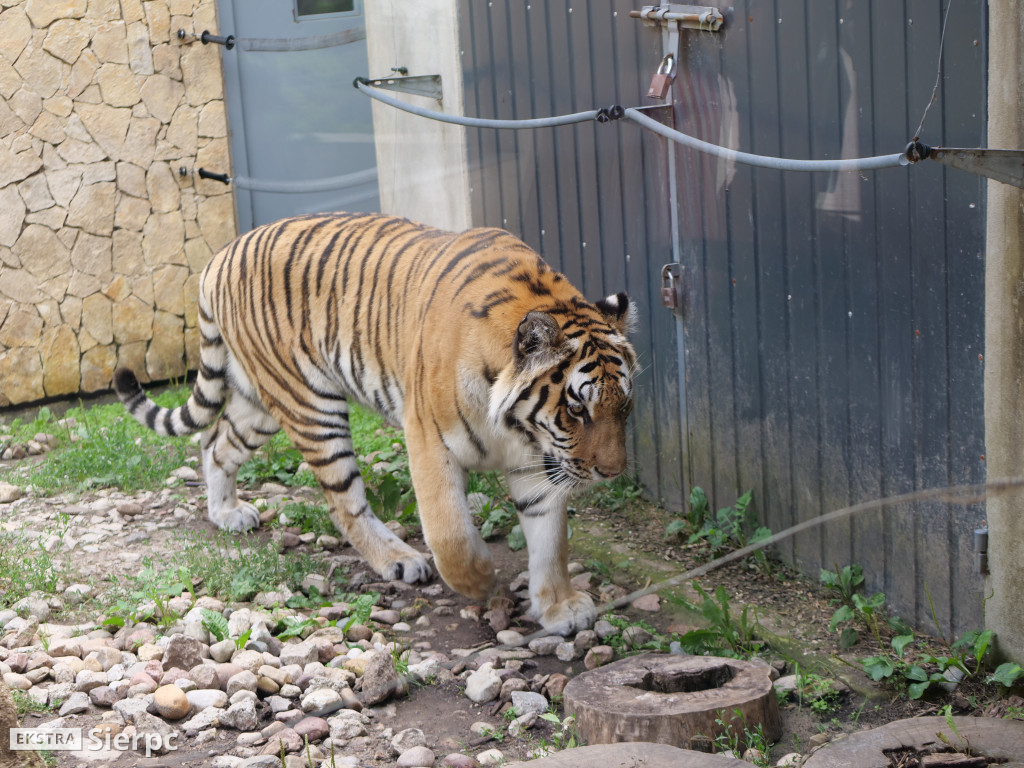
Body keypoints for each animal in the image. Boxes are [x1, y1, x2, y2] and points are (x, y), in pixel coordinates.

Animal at [116, 210, 634, 638]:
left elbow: (550, 538)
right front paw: (480, 579)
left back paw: (225, 512)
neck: (514, 425)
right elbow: (450, 534)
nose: (612, 473)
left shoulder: (535, 458)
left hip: (257, 402)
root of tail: (220, 256)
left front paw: (560, 608)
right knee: (344, 502)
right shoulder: (428, 438)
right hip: (309, 404)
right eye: (577, 409)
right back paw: (399, 560)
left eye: (624, 407)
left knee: (214, 442)